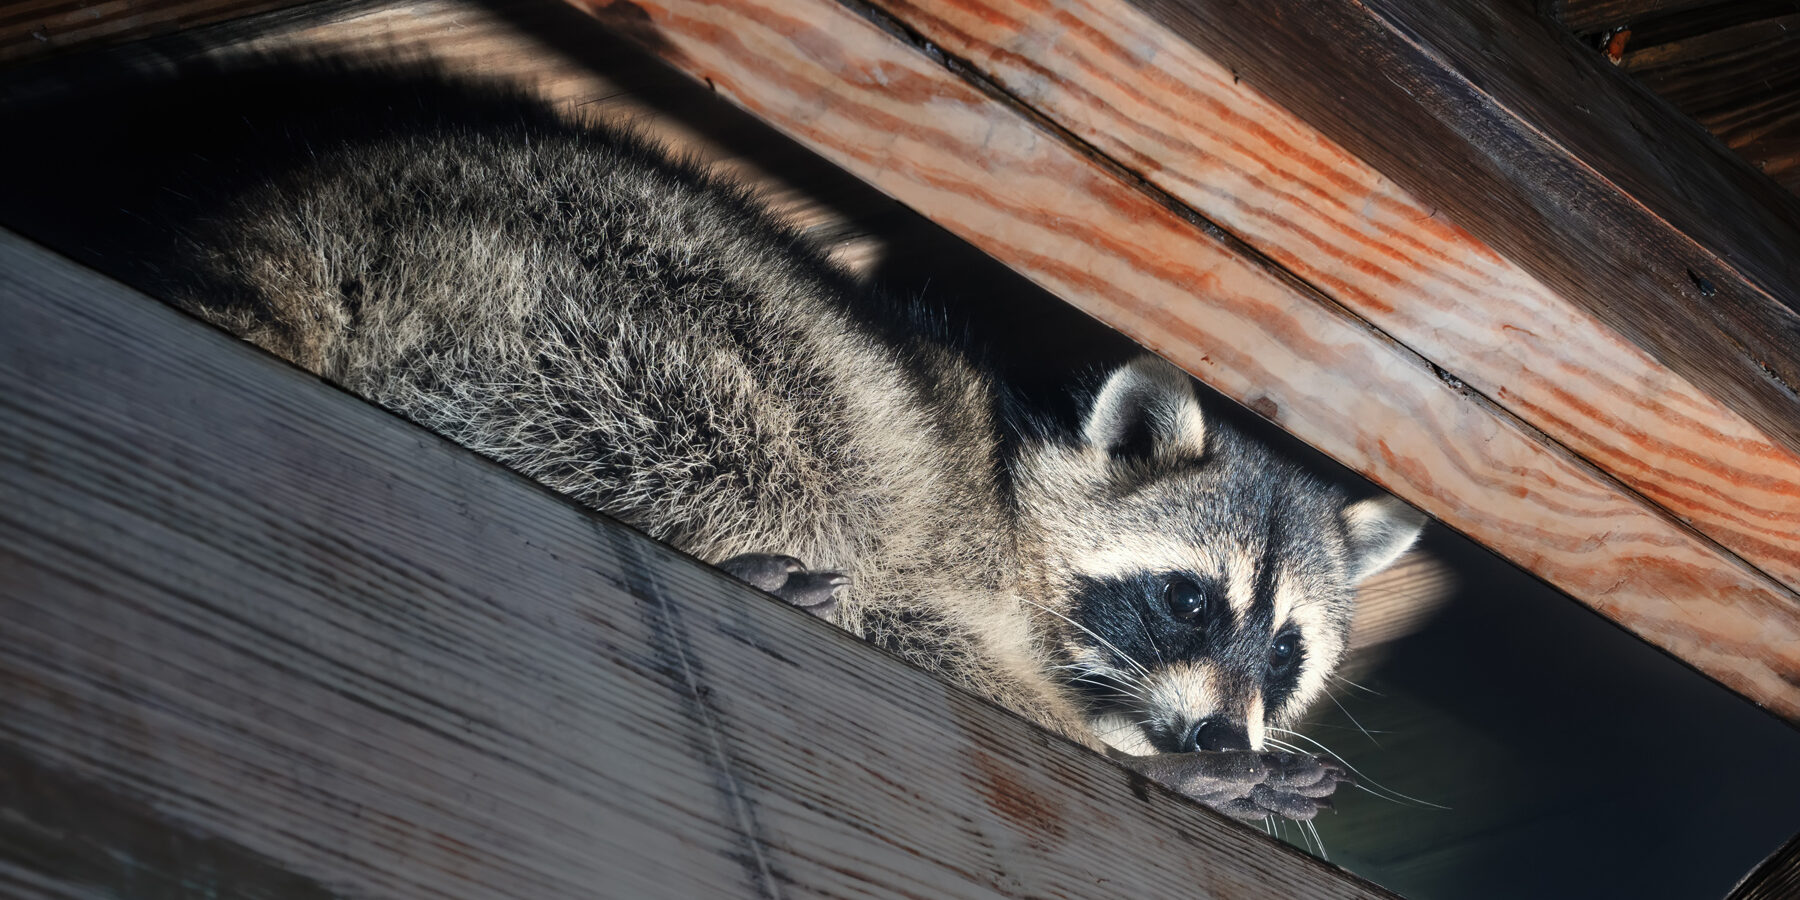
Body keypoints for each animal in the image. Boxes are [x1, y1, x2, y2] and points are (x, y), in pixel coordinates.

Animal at [0, 59, 1423, 823]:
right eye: (1188, 600)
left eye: (1286, 651)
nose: (1223, 740)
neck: (1018, 484)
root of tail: (316, 206)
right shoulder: (940, 546)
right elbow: (920, 621)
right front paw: (1122, 751)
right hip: (598, 306)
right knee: (762, 436)